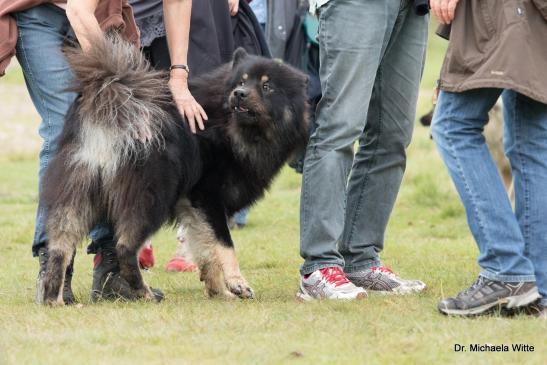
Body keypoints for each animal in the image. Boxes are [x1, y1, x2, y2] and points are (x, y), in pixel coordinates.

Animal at [39, 33, 308, 304]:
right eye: (242, 82)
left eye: (266, 87)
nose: (239, 93)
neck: (228, 125)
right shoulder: (208, 196)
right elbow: (224, 244)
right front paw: (237, 285)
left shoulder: (192, 204)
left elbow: (205, 251)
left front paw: (217, 292)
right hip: (152, 194)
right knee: (124, 247)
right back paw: (144, 293)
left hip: (78, 189)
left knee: (59, 247)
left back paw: (54, 299)